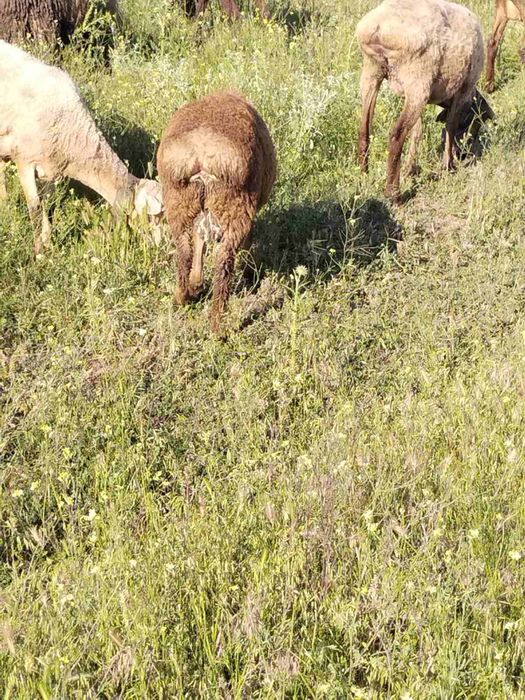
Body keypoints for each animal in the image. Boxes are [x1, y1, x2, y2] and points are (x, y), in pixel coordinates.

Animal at [0, 40, 163, 253]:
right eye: (152, 217)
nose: (160, 246)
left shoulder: (53, 170)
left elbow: (49, 207)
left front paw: (49, 243)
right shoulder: (25, 161)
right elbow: (35, 209)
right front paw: (38, 251)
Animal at [157, 90, 276, 334]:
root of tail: (200, 156)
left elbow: (199, 239)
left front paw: (196, 283)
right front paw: (250, 276)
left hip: (179, 202)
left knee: (185, 250)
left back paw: (183, 296)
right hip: (235, 207)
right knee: (223, 262)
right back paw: (218, 325)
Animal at [356, 0, 493, 201]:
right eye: (476, 124)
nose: (463, 154)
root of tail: (378, 27)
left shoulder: (413, 96)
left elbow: (417, 131)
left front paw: (410, 169)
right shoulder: (463, 90)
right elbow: (450, 126)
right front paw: (448, 166)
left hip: (372, 71)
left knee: (364, 128)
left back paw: (363, 173)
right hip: (417, 78)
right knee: (396, 135)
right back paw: (393, 194)